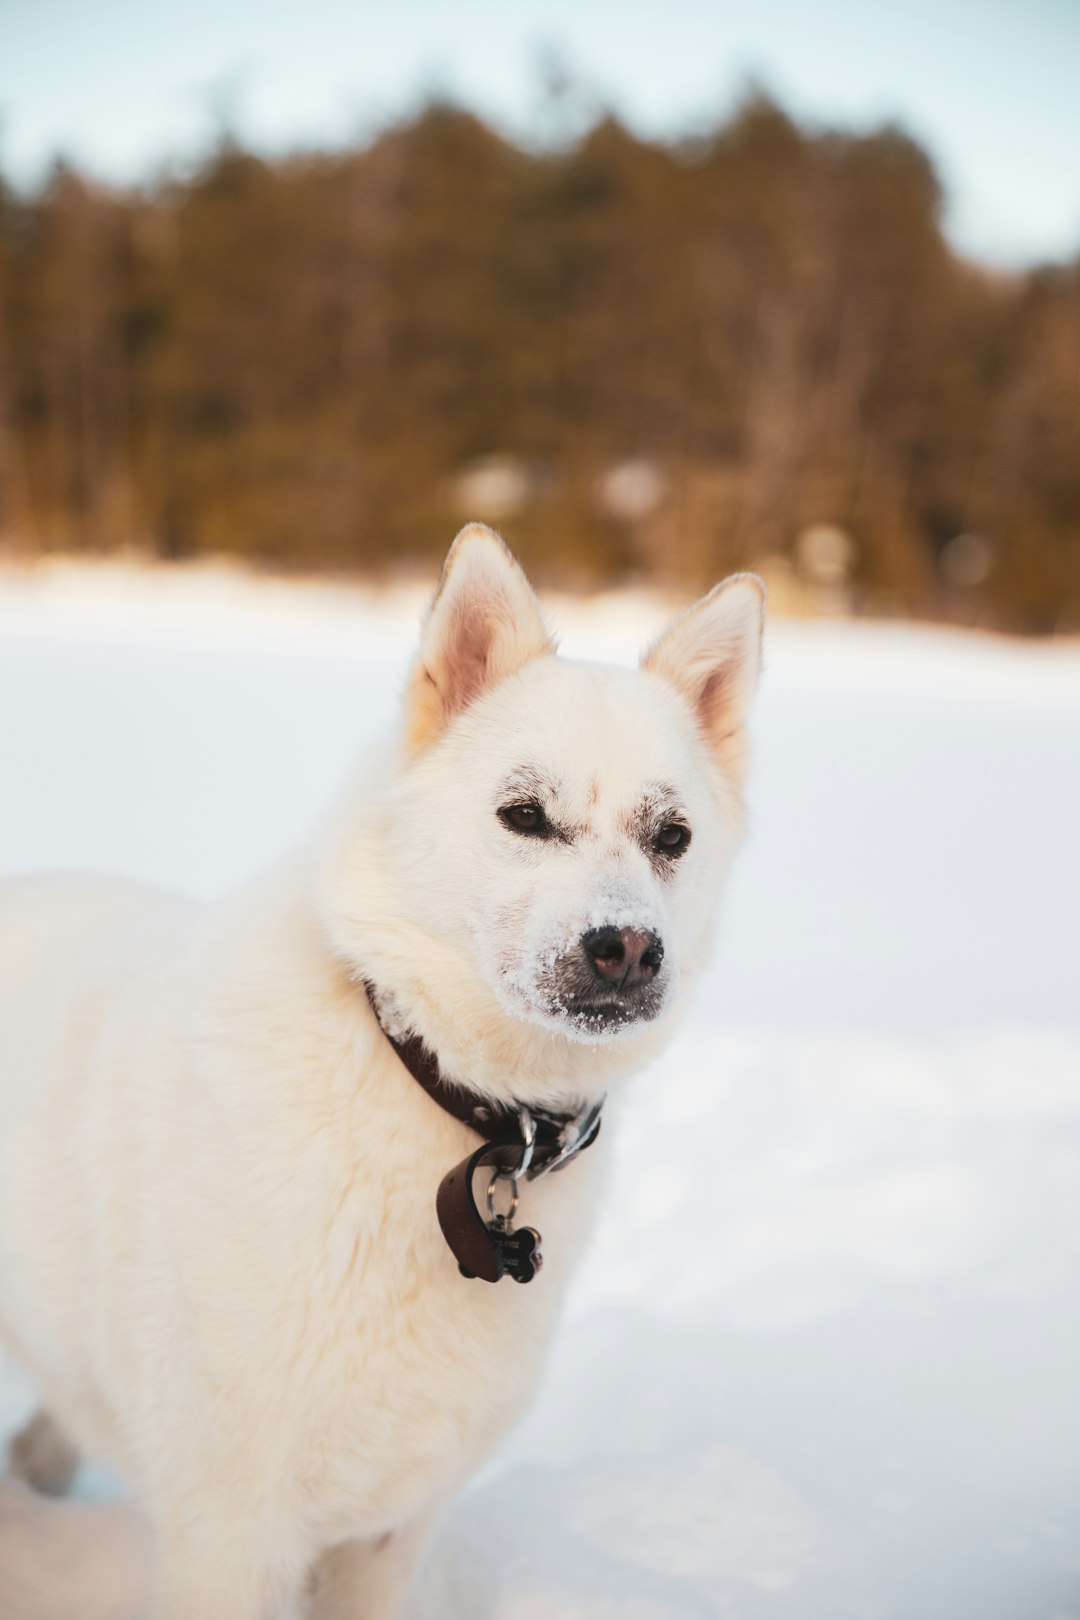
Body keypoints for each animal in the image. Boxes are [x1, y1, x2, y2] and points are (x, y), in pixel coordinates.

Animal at [0, 524, 764, 1613]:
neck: (444, 1097)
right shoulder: (229, 1535)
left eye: (673, 838)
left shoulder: (389, 1534)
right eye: (523, 815)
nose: (627, 950)